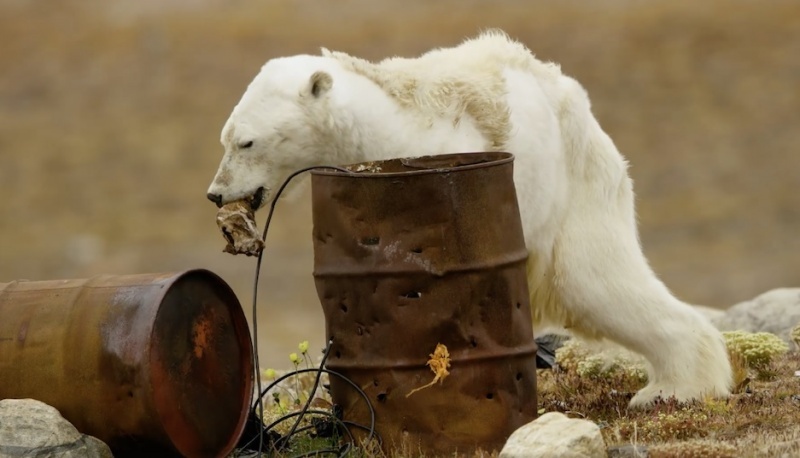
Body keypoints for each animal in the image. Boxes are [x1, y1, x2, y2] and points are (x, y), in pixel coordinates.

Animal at [206, 30, 732, 406]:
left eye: (247, 142)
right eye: (225, 138)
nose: (215, 194)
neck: (379, 127)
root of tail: (574, 101)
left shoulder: (442, 156)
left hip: (573, 191)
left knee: (597, 281)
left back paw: (674, 388)